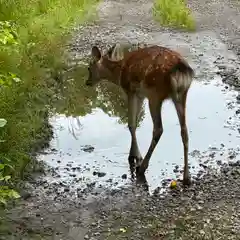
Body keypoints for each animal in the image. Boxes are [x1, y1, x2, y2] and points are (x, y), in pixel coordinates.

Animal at [85, 43, 194, 186]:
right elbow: (135, 123)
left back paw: (142, 167)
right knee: (184, 130)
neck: (119, 73)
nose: (87, 82)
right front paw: (135, 154)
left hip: (155, 94)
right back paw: (187, 177)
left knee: (158, 128)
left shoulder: (130, 90)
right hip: (181, 95)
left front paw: (134, 156)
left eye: (88, 67)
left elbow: (131, 123)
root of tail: (180, 70)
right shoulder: (141, 95)